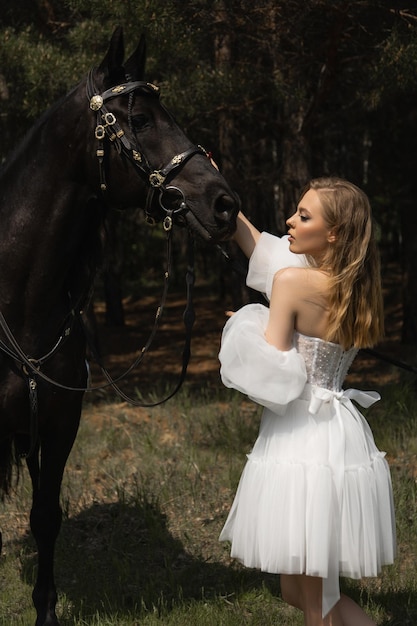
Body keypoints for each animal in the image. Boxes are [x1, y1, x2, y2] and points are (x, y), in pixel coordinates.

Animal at [0, 28, 237, 624]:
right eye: (142, 119)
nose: (225, 204)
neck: (18, 305)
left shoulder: (59, 425)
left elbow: (46, 517)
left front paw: (46, 609)